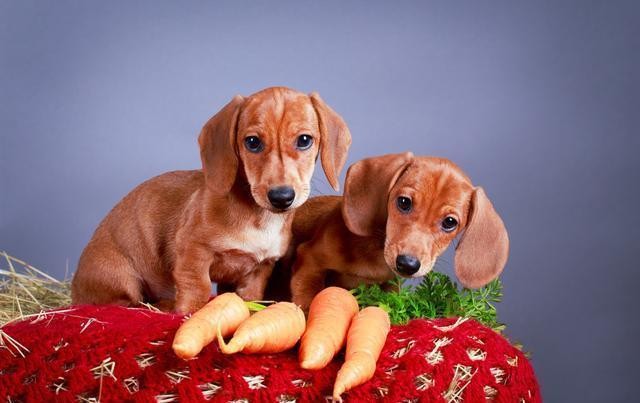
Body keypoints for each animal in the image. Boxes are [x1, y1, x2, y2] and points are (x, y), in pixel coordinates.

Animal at [72, 87, 352, 314]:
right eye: (252, 142)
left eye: (304, 140)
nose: (281, 197)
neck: (256, 218)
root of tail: (75, 288)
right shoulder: (193, 253)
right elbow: (197, 288)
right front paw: (189, 312)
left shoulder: (258, 271)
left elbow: (250, 298)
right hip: (122, 278)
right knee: (127, 303)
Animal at [288, 153, 508, 310]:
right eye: (404, 202)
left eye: (450, 222)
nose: (408, 264)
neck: (375, 252)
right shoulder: (310, 260)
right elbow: (306, 299)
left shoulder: (391, 286)